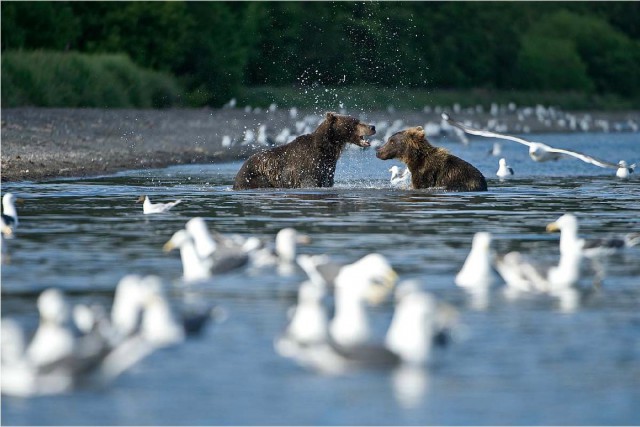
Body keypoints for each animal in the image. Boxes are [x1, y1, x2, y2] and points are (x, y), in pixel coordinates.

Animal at [234, 112, 376, 189]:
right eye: (355, 122)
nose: (372, 126)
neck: (328, 148)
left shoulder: (327, 167)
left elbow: (327, 181)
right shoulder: (309, 165)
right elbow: (310, 181)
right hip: (255, 176)